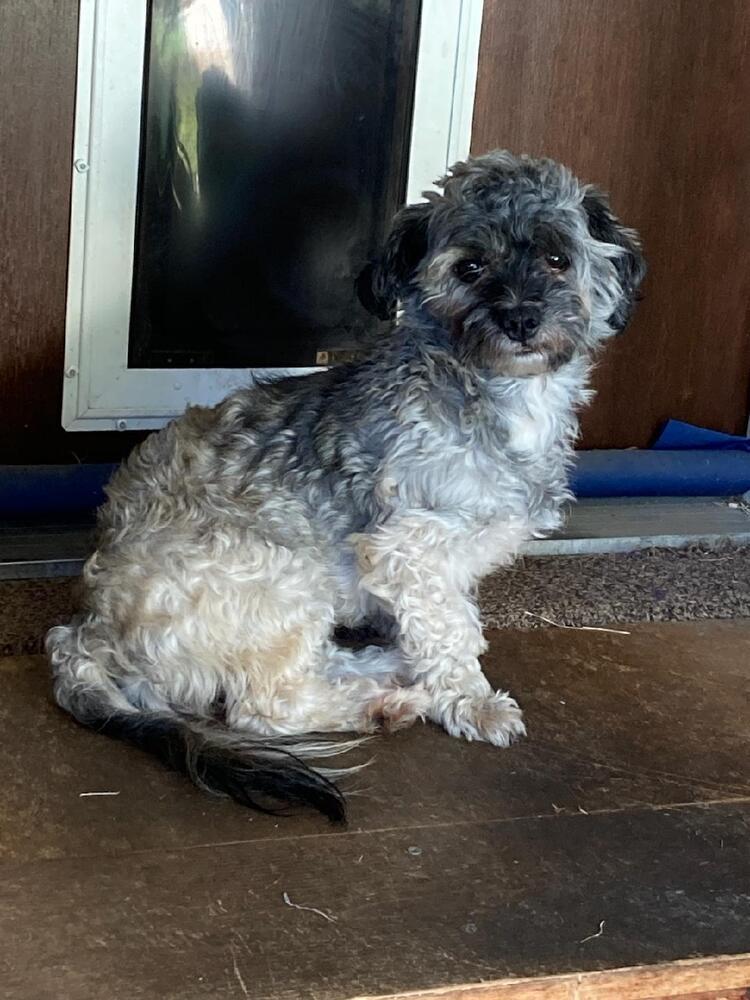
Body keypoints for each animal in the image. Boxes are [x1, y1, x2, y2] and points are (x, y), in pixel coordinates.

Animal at [47, 150, 648, 820]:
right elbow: (452, 629)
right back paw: (380, 704)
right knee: (264, 707)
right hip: (281, 570)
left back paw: (382, 666)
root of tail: (91, 628)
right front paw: (470, 701)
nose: (521, 317)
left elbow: (443, 620)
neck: (493, 394)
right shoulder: (409, 551)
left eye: (557, 258)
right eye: (470, 267)